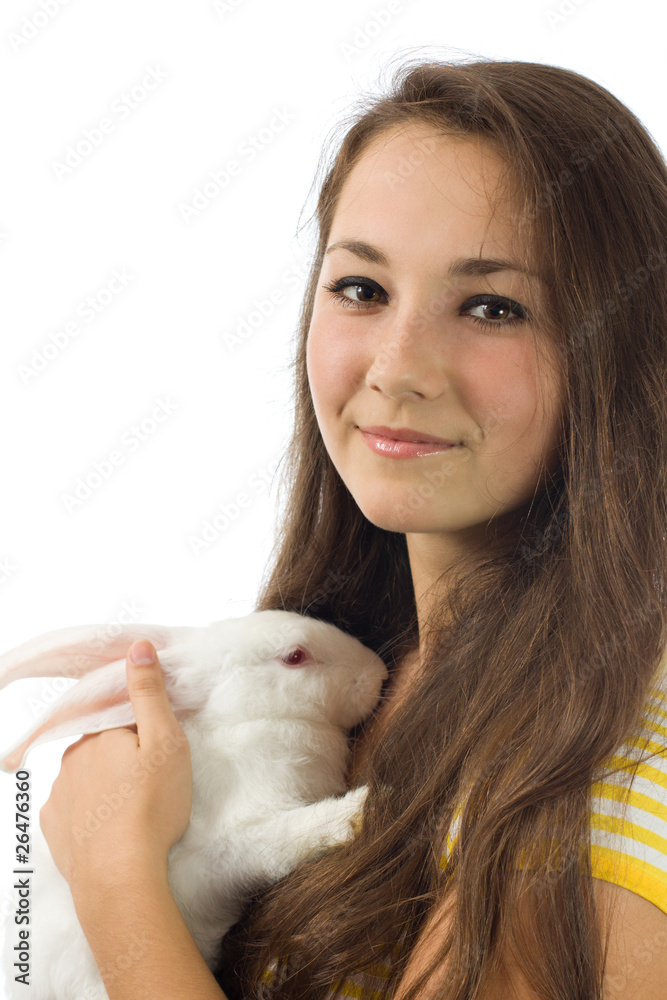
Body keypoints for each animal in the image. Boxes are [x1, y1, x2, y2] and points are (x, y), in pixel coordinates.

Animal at [0, 609, 389, 999]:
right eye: (295, 656)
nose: (380, 672)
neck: (246, 721)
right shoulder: (230, 843)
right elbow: (286, 838)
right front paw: (357, 808)